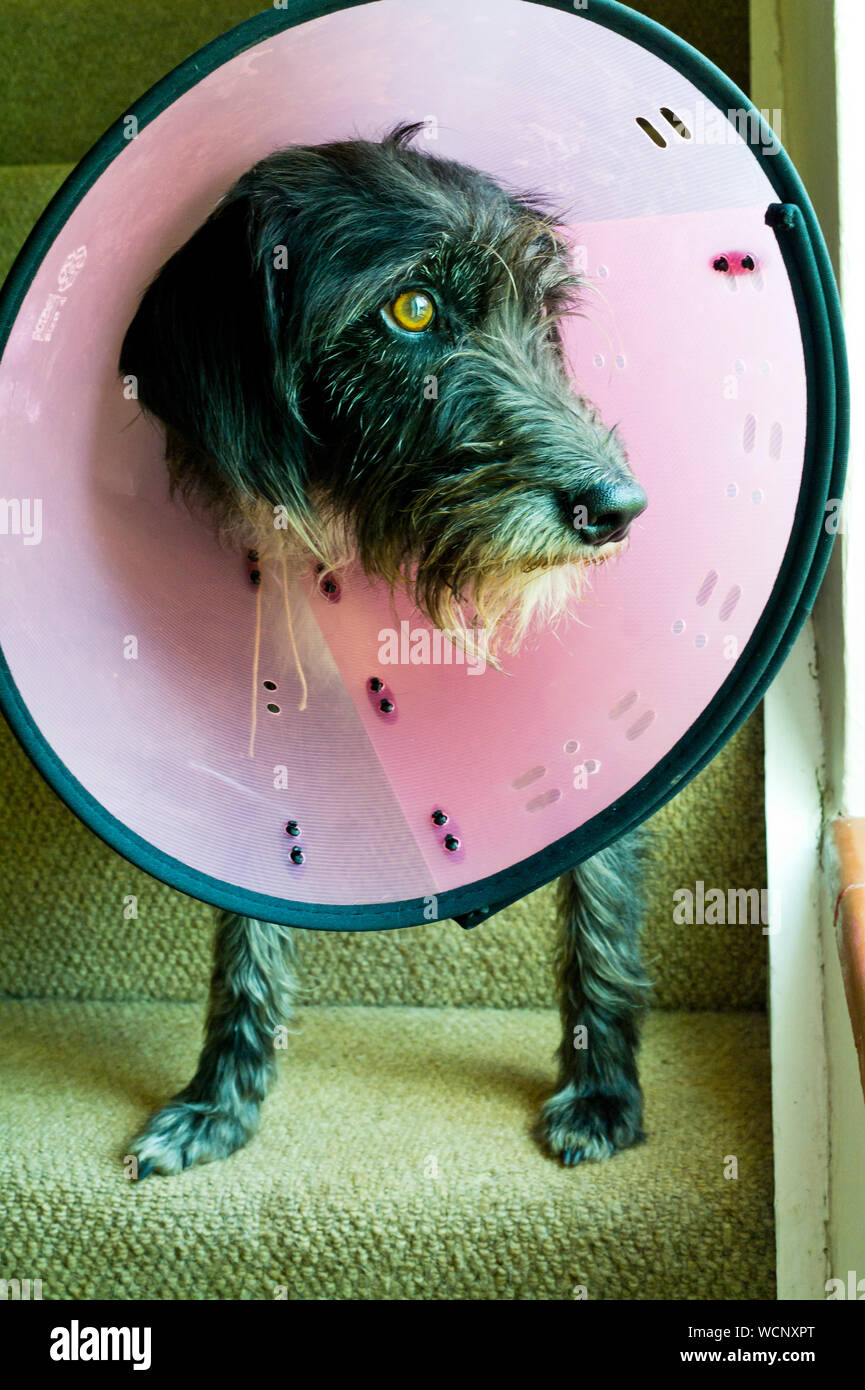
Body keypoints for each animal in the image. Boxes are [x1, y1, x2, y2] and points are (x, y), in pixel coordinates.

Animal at [120, 125, 650, 1178]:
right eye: (411, 309)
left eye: (544, 313)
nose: (615, 509)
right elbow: (249, 912)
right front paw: (218, 1101)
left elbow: (600, 897)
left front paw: (603, 1089)